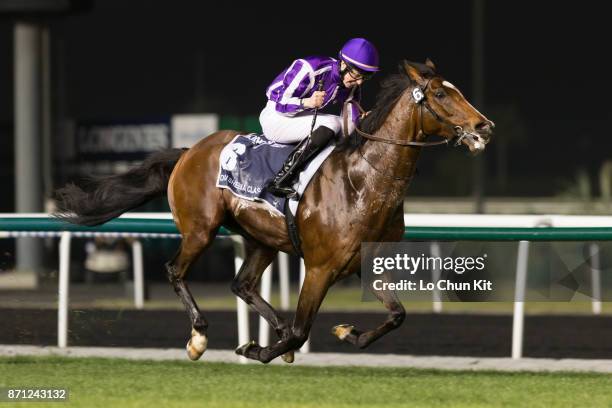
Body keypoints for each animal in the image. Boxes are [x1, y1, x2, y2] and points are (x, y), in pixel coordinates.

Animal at [55, 59, 494, 364]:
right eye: (441, 95)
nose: (484, 126)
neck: (363, 182)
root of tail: (189, 151)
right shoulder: (319, 268)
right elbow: (302, 329)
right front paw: (256, 350)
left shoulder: (368, 264)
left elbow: (398, 315)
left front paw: (345, 332)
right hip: (200, 229)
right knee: (175, 271)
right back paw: (199, 337)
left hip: (261, 239)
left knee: (243, 285)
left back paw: (271, 330)